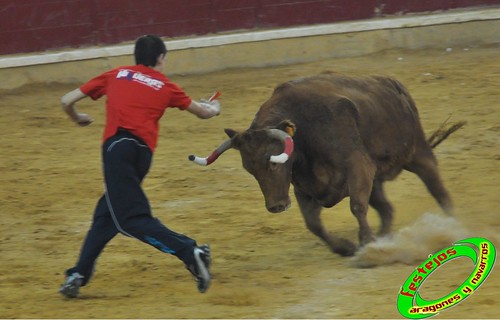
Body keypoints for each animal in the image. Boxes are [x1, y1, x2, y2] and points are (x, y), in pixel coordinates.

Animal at [188, 74, 464, 256]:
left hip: (418, 153)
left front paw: (365, 243)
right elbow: (314, 224)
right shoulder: (304, 187)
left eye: (274, 163)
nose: (276, 206)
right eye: (250, 170)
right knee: (386, 208)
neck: (305, 133)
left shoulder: (358, 167)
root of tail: (393, 84)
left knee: (438, 189)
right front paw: (346, 247)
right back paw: (385, 237)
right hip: (377, 181)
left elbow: (357, 206)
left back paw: (451, 224)